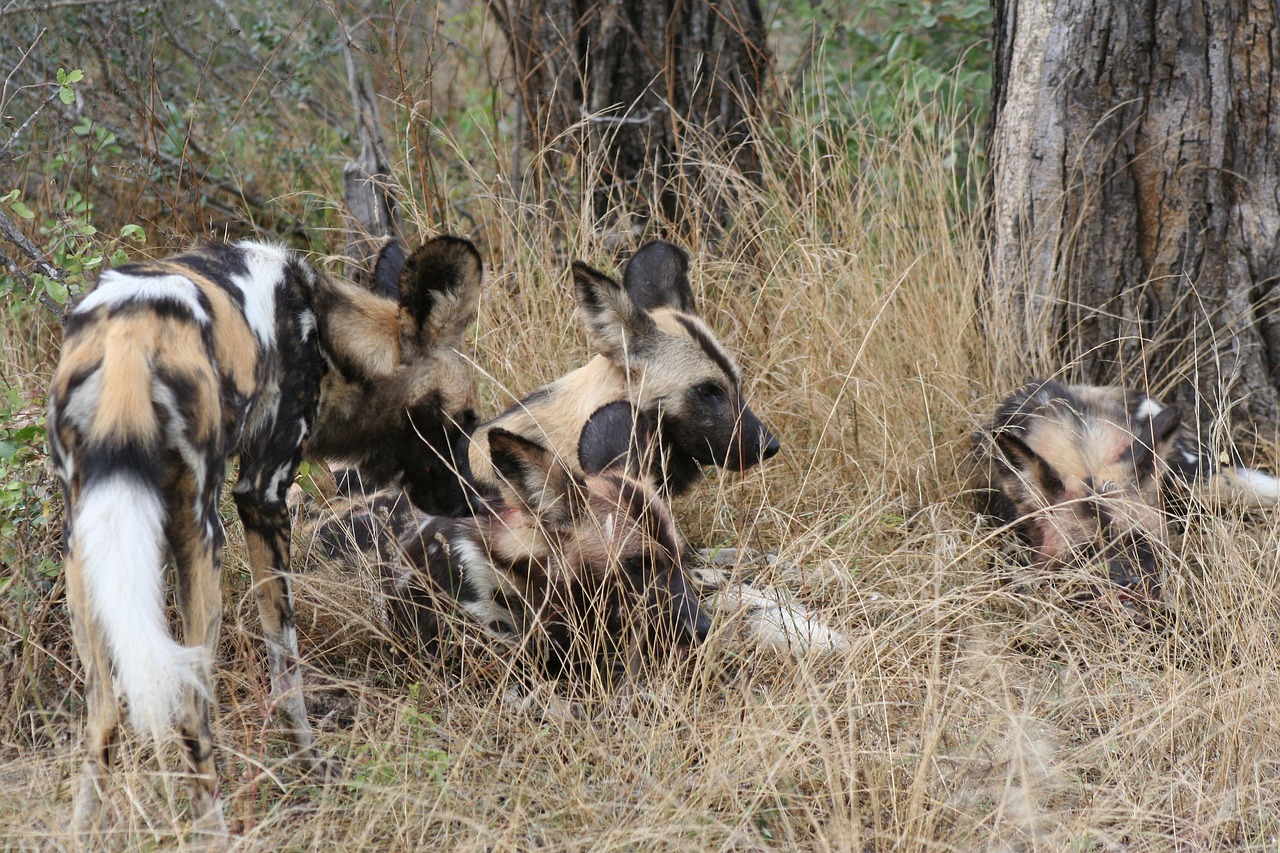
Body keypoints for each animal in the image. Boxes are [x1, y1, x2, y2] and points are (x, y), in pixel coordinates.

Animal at [47, 234, 481, 829]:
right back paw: (217, 832)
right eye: (461, 421)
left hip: (86, 541)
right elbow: (287, 664)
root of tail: (129, 335)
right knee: (191, 710)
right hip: (202, 532)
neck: (328, 334)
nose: (473, 501)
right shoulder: (264, 495)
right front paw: (313, 765)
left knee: (104, 718)